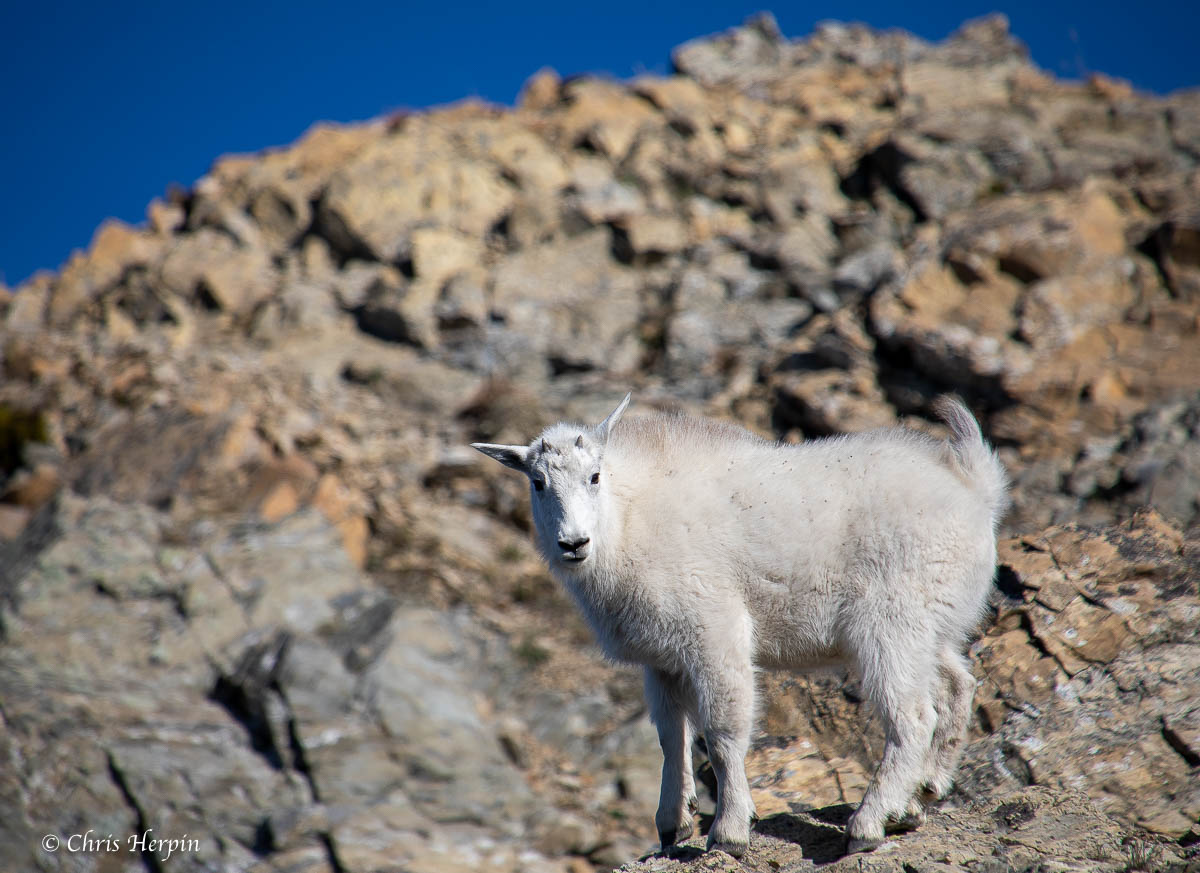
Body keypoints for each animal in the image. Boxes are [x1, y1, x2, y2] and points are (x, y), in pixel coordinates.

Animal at [472, 393, 1007, 856]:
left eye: (595, 476)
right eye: (537, 482)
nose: (574, 543)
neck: (628, 520)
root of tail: (975, 490)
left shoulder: (714, 630)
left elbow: (722, 731)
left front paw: (729, 831)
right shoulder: (662, 660)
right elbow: (672, 736)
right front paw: (672, 825)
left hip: (892, 623)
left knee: (912, 716)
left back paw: (869, 823)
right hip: (931, 626)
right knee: (957, 686)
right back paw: (921, 798)